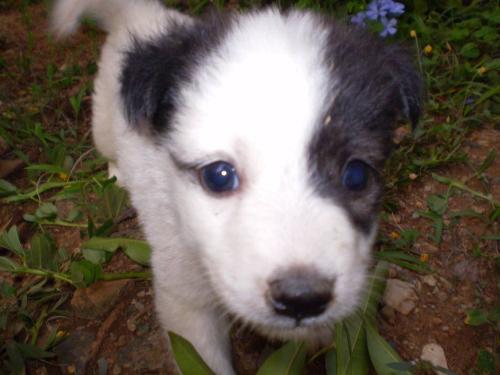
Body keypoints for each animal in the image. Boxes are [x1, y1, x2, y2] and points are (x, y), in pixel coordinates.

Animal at [51, 1, 422, 374]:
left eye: (356, 175)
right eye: (219, 176)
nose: (302, 299)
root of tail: (140, 14)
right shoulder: (184, 296)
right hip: (103, 117)